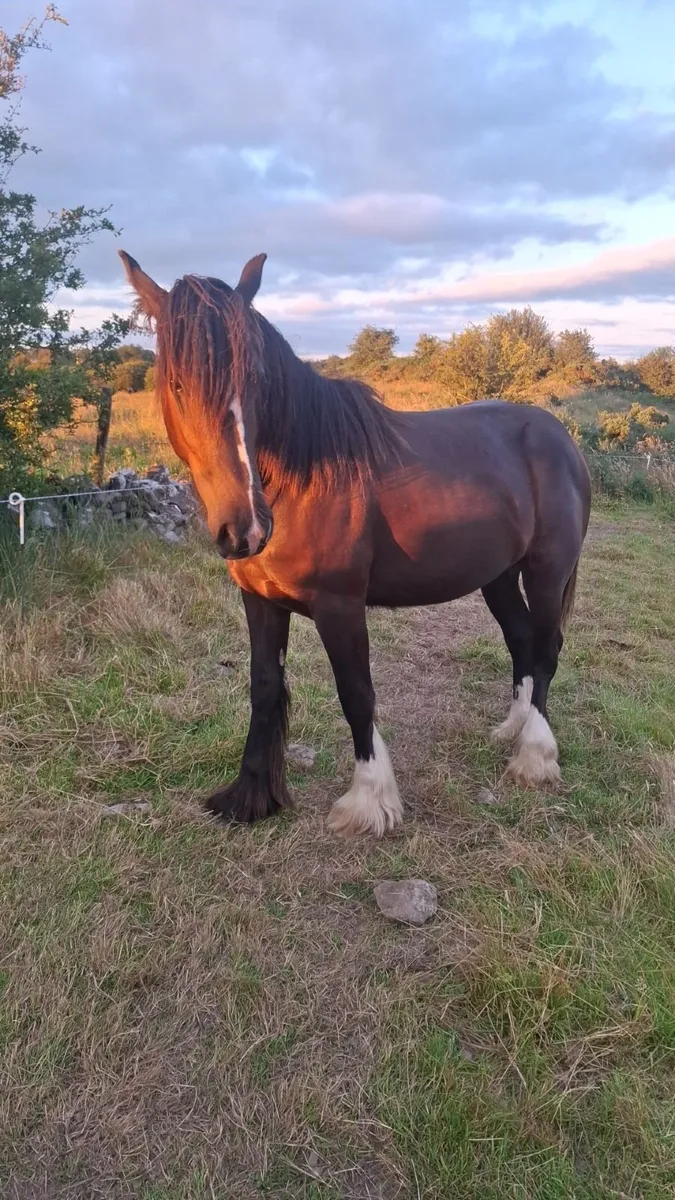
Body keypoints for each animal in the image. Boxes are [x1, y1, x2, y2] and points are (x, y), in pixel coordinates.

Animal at [119, 250, 591, 838]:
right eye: (179, 385)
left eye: (255, 379)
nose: (245, 529)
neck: (298, 480)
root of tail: (562, 438)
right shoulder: (259, 600)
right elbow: (264, 687)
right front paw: (250, 797)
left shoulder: (340, 605)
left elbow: (356, 692)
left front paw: (369, 802)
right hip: (498, 576)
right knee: (523, 641)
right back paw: (513, 730)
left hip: (546, 572)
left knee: (547, 648)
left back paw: (533, 756)